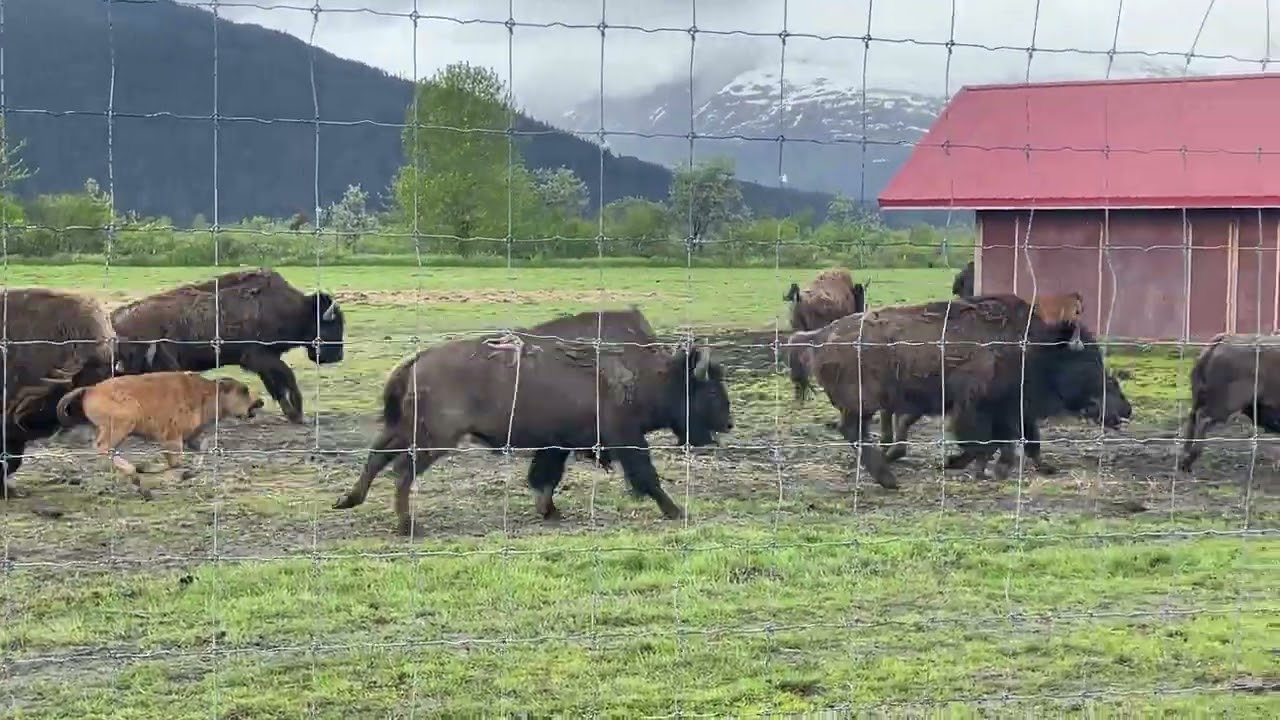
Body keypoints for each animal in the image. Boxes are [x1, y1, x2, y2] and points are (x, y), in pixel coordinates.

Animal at [109, 268, 345, 423]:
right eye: (333, 325)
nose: (338, 356)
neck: (299, 310)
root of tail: (113, 319)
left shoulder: (265, 362)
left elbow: (276, 386)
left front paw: (292, 414)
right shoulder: (260, 357)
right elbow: (286, 377)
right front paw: (298, 413)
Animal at [332, 307, 733, 536]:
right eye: (710, 391)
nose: (728, 423)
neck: (654, 372)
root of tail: (417, 361)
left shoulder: (557, 443)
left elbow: (545, 477)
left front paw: (549, 511)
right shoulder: (626, 438)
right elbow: (647, 477)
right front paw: (675, 510)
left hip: (406, 428)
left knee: (377, 457)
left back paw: (348, 501)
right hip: (435, 438)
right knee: (401, 471)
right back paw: (407, 526)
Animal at [799, 294, 1129, 488]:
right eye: (1088, 360)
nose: (1126, 409)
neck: (1032, 348)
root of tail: (821, 335)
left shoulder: (1009, 409)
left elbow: (1014, 441)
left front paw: (1001, 469)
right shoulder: (978, 406)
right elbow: (984, 441)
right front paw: (962, 464)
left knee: (856, 432)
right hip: (863, 403)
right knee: (853, 431)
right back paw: (889, 479)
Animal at [1177, 333, 1280, 473]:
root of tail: (1223, 339)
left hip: (1199, 397)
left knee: (1193, 417)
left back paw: (1184, 457)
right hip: (1226, 404)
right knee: (1203, 418)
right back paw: (1189, 460)